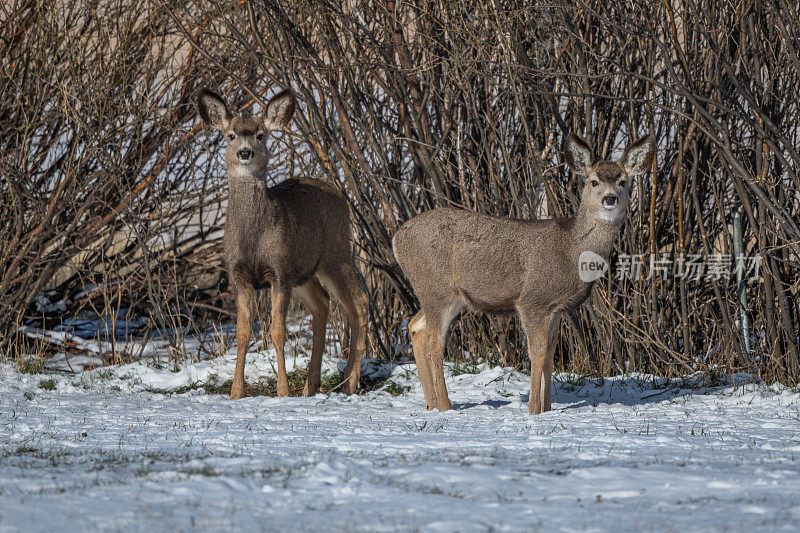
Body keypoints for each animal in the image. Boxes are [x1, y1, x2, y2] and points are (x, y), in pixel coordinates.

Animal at [197, 85, 368, 396]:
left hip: (336, 253)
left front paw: (283, 392)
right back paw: (311, 386)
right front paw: (236, 393)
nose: (245, 152)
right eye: (231, 135)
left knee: (358, 302)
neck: (253, 239)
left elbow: (278, 331)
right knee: (323, 303)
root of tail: (341, 195)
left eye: (260, 134)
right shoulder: (239, 274)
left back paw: (349, 384)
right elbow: (242, 333)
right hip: (304, 270)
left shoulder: (279, 271)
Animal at [390, 132, 652, 412]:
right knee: (434, 342)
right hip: (437, 288)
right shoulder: (532, 300)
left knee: (415, 327)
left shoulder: (556, 308)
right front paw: (533, 409)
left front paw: (546, 408)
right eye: (594, 181)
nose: (610, 198)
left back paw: (431, 405)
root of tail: (397, 238)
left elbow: (549, 356)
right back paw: (445, 406)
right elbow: (536, 353)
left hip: (442, 295)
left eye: (623, 181)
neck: (571, 249)